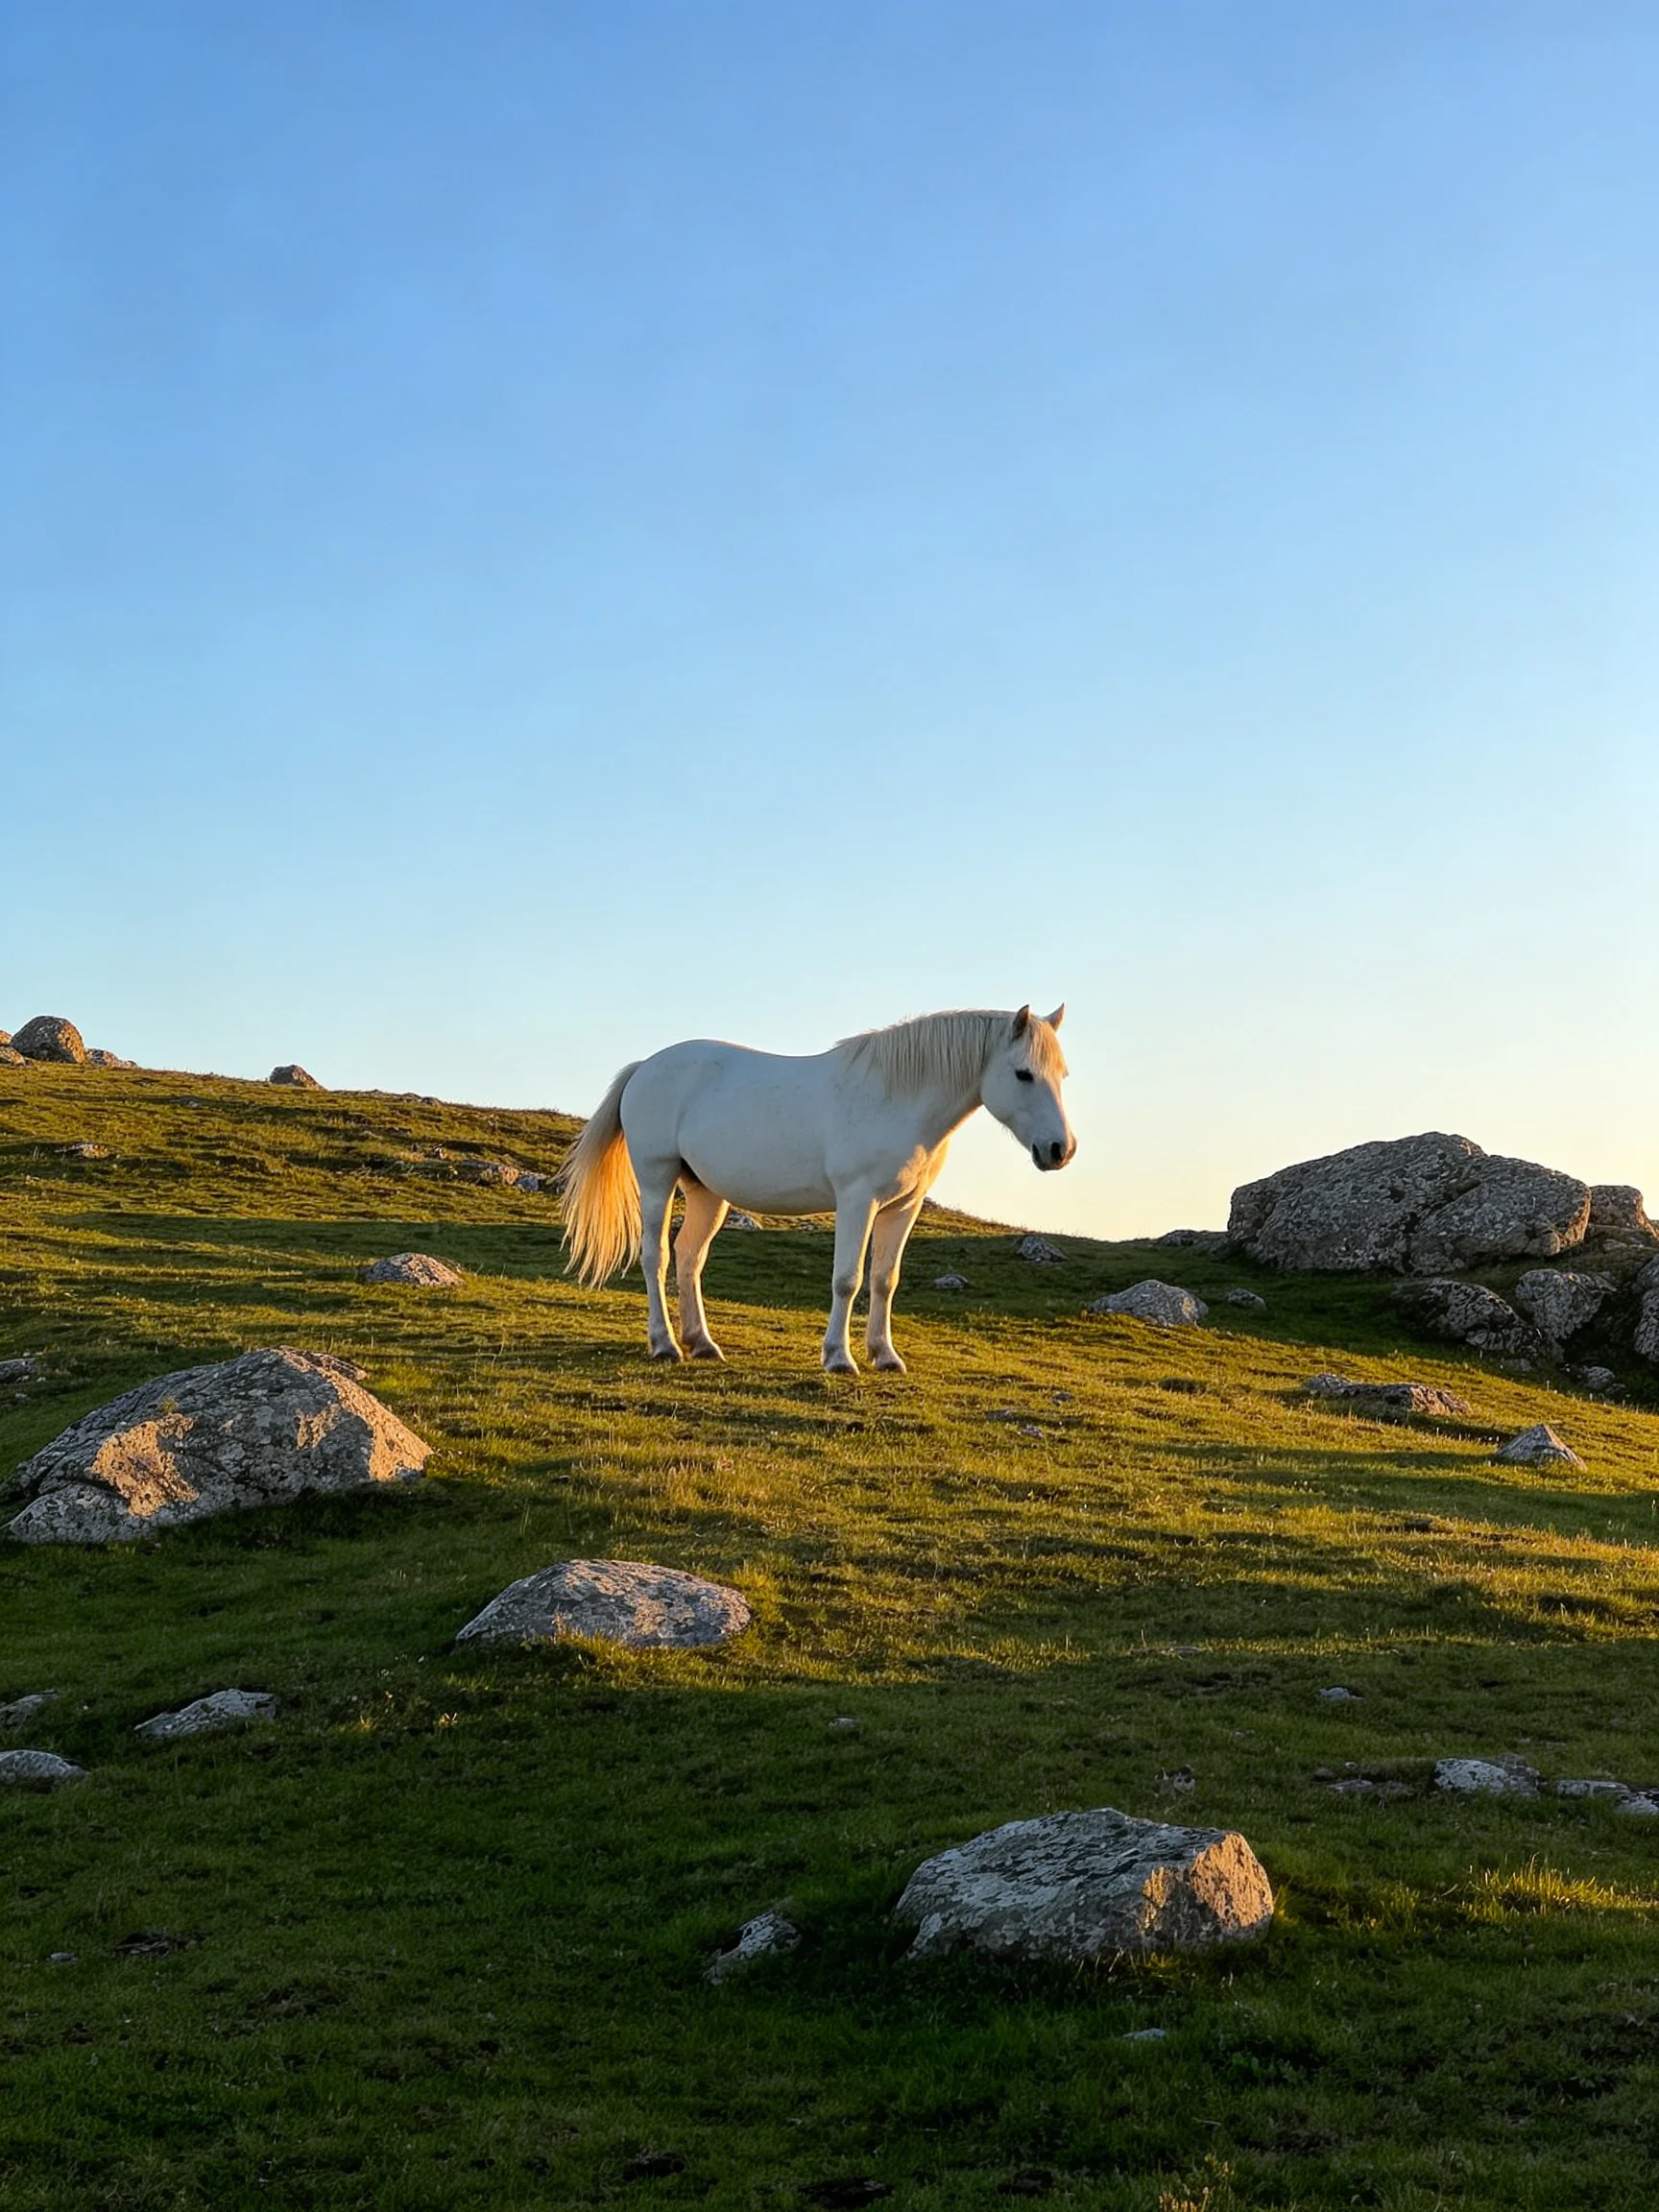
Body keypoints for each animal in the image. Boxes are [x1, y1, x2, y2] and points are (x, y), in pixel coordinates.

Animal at [558, 1005, 1074, 1373]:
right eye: (1023, 1073)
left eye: (1062, 1075)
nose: (1060, 1149)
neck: (897, 1098)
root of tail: (646, 1066)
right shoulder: (857, 1201)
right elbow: (847, 1279)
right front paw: (839, 1358)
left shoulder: (902, 1208)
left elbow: (885, 1280)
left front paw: (885, 1356)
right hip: (657, 1179)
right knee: (656, 1257)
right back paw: (664, 1343)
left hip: (706, 1192)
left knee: (690, 1258)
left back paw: (701, 1343)